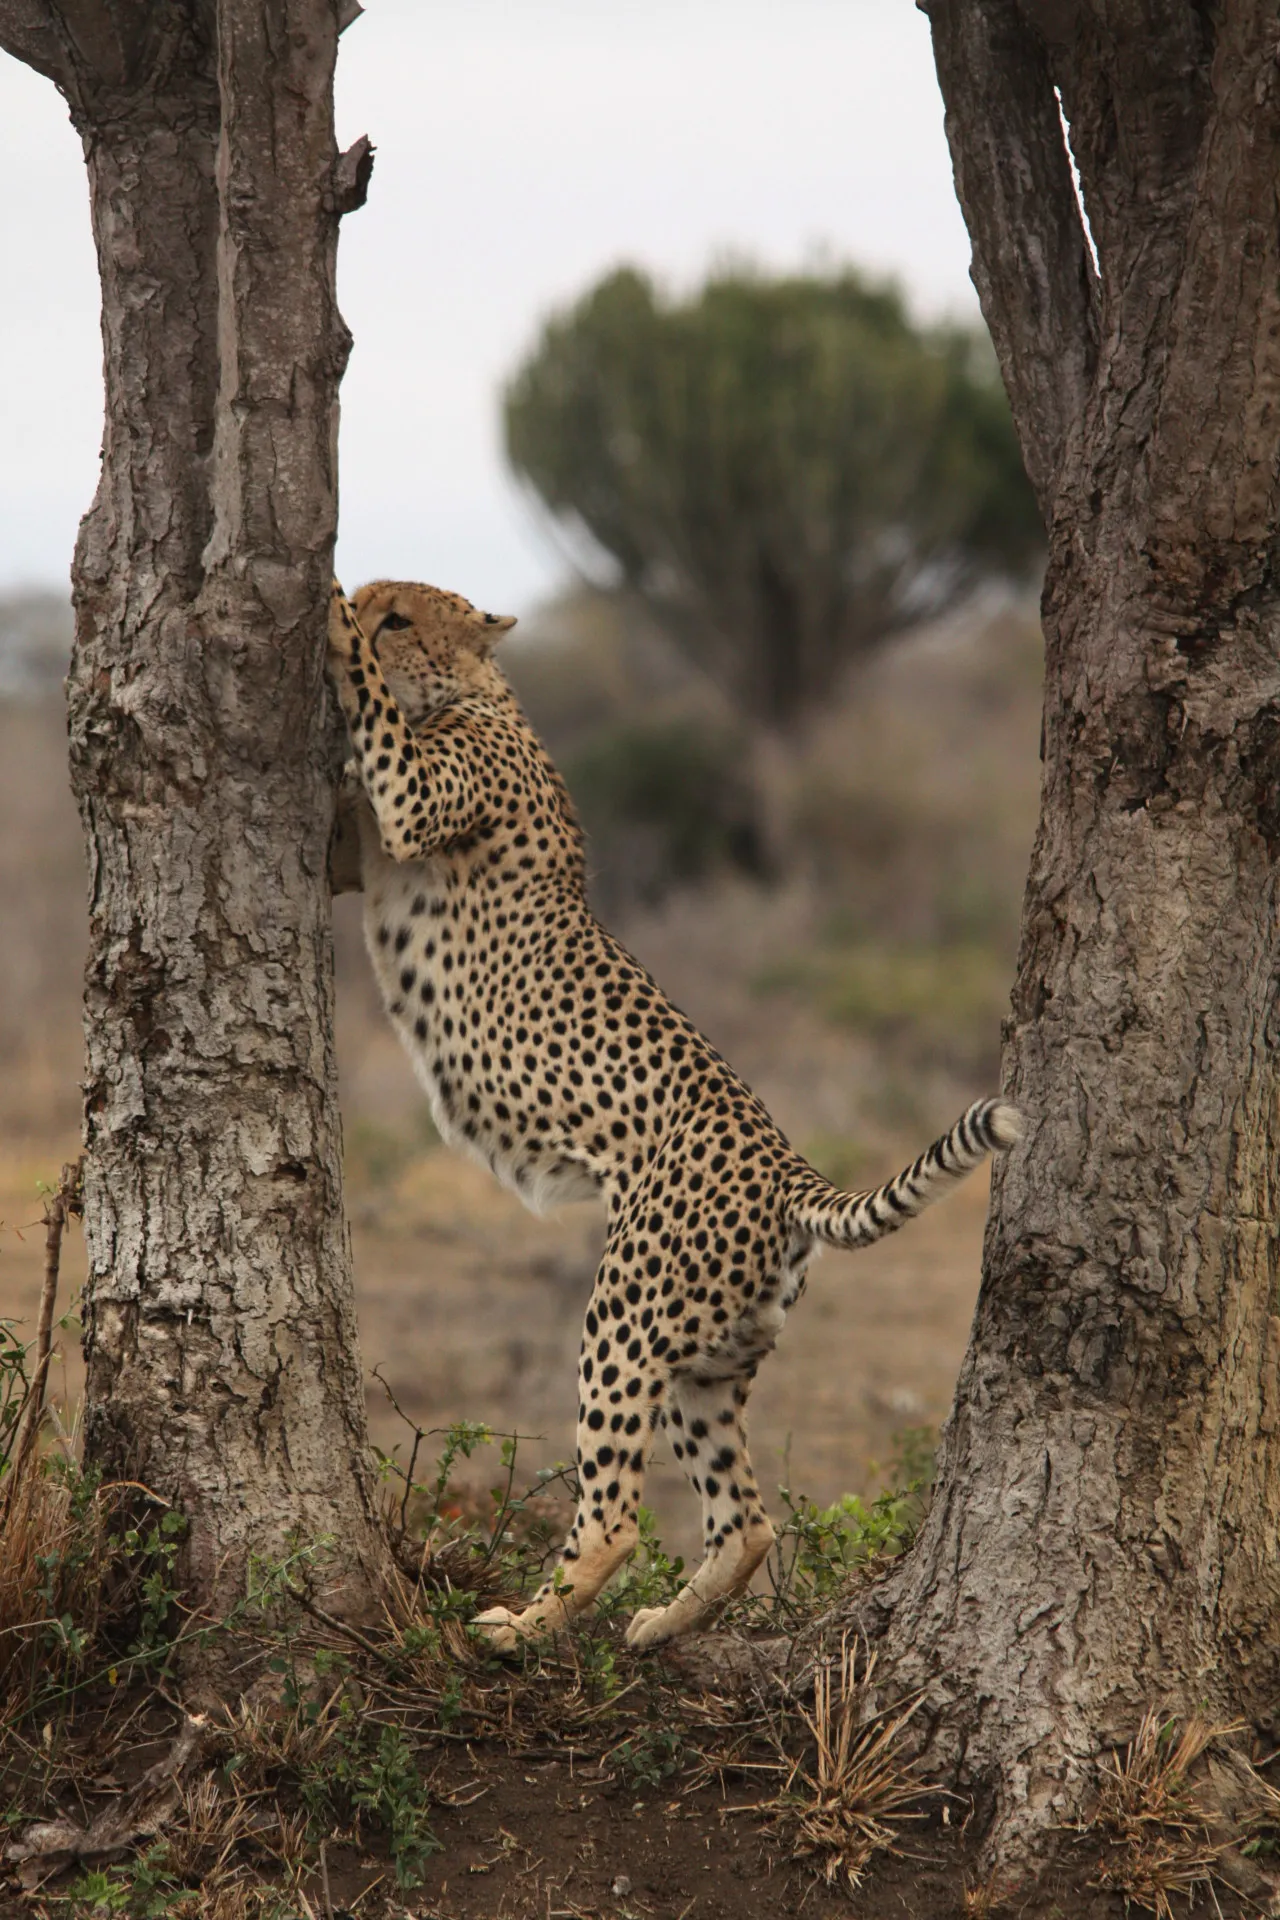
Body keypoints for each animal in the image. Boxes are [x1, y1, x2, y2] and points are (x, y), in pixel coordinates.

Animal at [327, 577, 1021, 1652]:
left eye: (398, 615)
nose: (364, 606)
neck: (477, 690)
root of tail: (787, 1167)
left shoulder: (414, 800)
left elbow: (377, 721)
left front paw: (326, 620)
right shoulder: (366, 852)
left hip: (625, 1314)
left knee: (614, 1515)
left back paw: (522, 1629)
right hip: (708, 1360)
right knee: (749, 1519)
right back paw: (661, 1625)